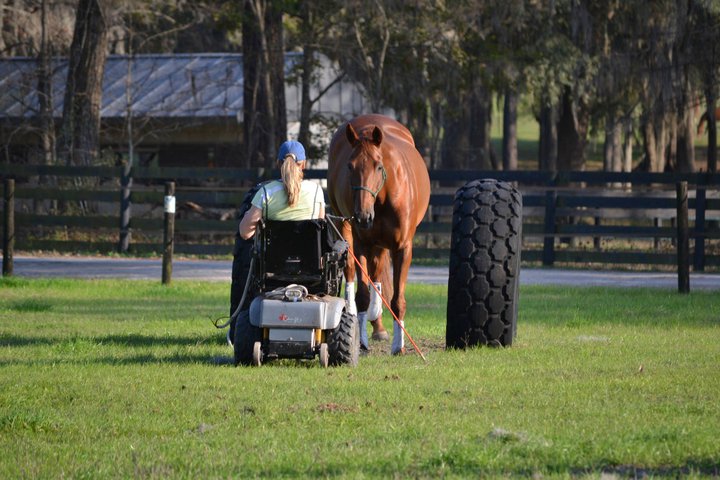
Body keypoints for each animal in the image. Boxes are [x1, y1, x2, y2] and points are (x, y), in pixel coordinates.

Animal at [327, 114, 431, 355]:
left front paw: (398, 346)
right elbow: (363, 295)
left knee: (378, 271)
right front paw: (361, 341)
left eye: (378, 166)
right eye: (350, 166)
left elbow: (397, 300)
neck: (382, 197)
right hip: (345, 227)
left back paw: (380, 325)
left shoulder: (402, 248)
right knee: (353, 270)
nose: (363, 216)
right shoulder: (362, 245)